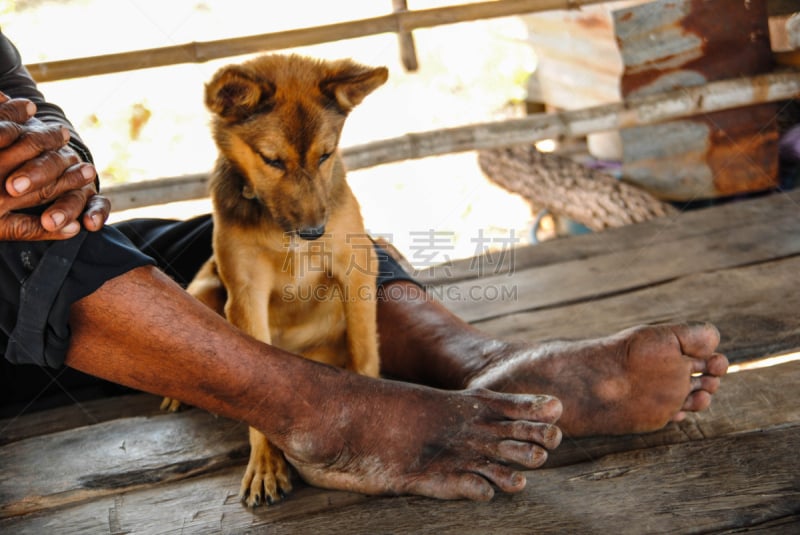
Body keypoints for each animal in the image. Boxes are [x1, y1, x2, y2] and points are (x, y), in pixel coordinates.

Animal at [189, 54, 386, 506]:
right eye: (272, 160)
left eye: (326, 155)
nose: (313, 231)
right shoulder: (245, 295)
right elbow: (254, 383)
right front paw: (265, 463)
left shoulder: (357, 268)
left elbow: (364, 352)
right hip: (204, 290)